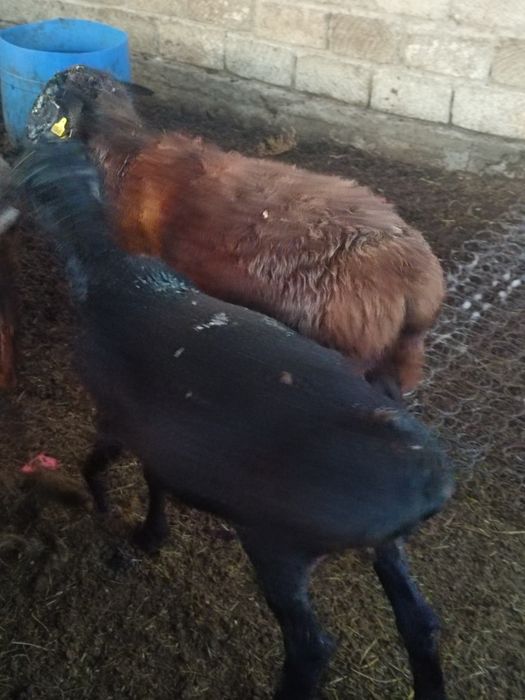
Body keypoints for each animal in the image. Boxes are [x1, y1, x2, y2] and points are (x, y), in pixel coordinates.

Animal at [14, 139, 454, 700]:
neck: (108, 267)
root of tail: (426, 485)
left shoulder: (117, 415)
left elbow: (98, 463)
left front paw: (104, 506)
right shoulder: (164, 426)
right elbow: (157, 480)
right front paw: (151, 533)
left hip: (280, 545)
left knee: (312, 647)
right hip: (387, 547)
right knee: (420, 622)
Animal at [27, 65, 445, 396]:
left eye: (45, 97)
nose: (25, 137)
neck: (123, 148)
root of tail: (416, 275)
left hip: (345, 346)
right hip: (400, 354)